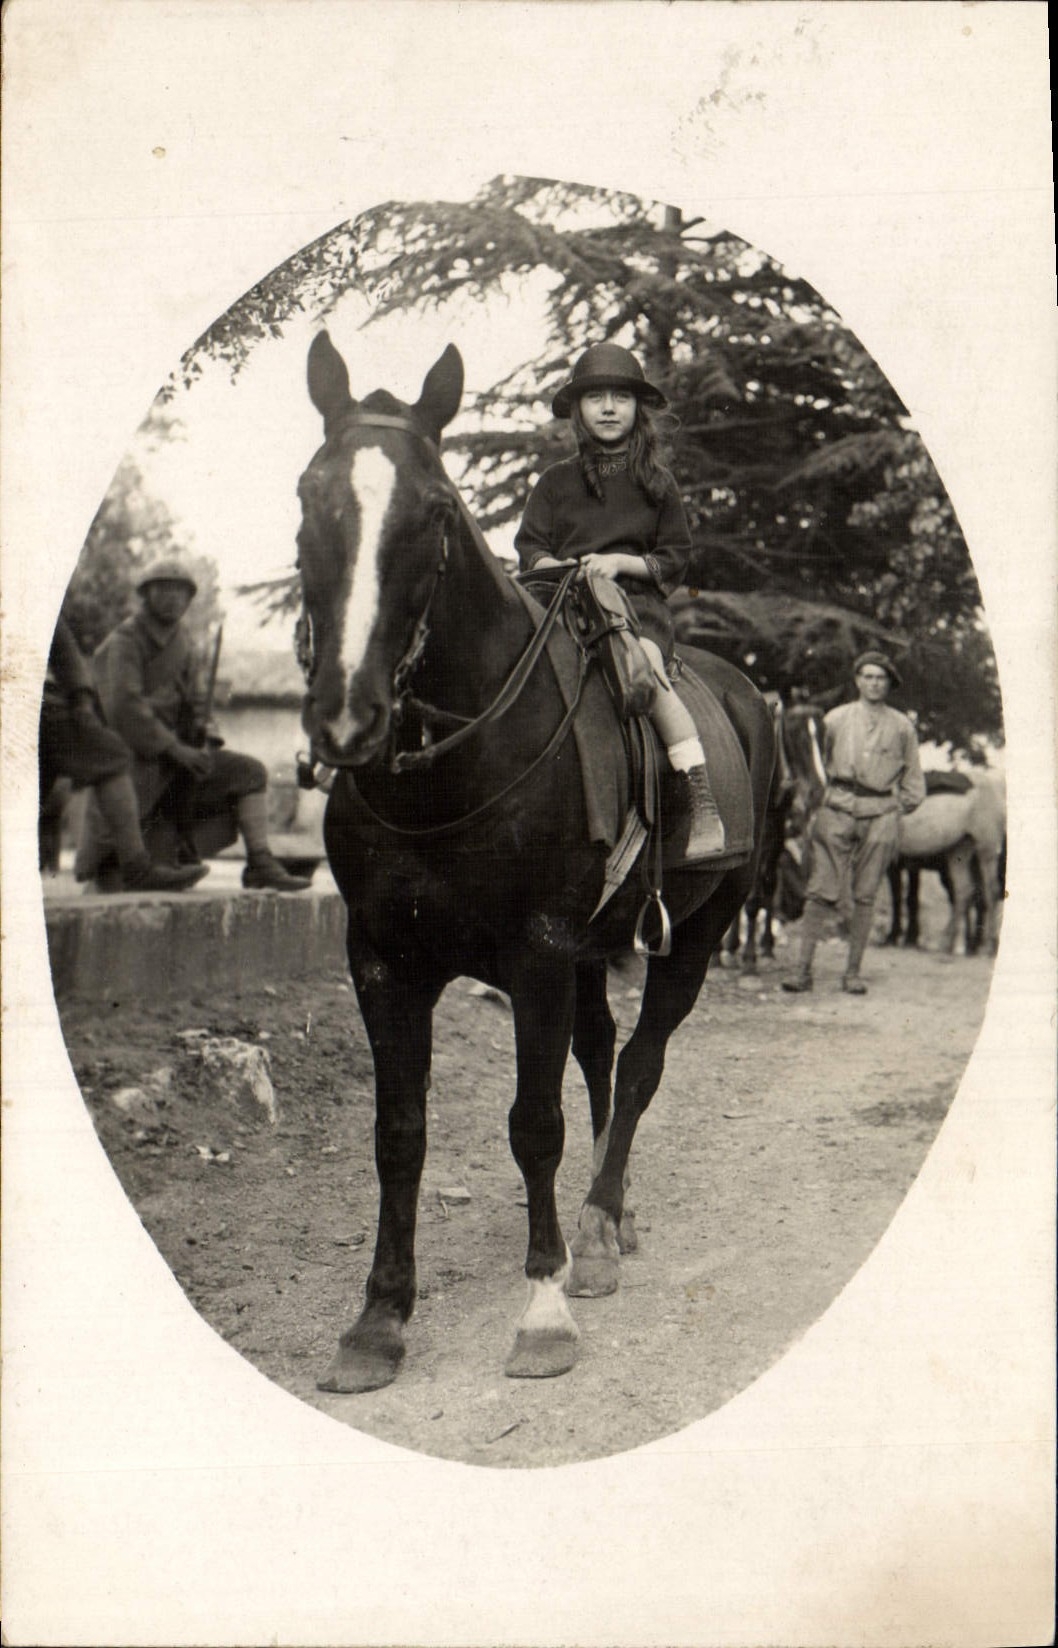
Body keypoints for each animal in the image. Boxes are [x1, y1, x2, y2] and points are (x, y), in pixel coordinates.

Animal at [294, 333, 775, 1392]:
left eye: (435, 511)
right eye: (308, 493)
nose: (347, 718)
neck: (451, 768)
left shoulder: (540, 953)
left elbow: (533, 1124)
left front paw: (544, 1306)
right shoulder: (383, 962)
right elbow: (400, 1134)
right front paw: (377, 1320)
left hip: (699, 936)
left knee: (638, 1064)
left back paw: (592, 1228)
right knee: (602, 1052)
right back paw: (611, 1214)